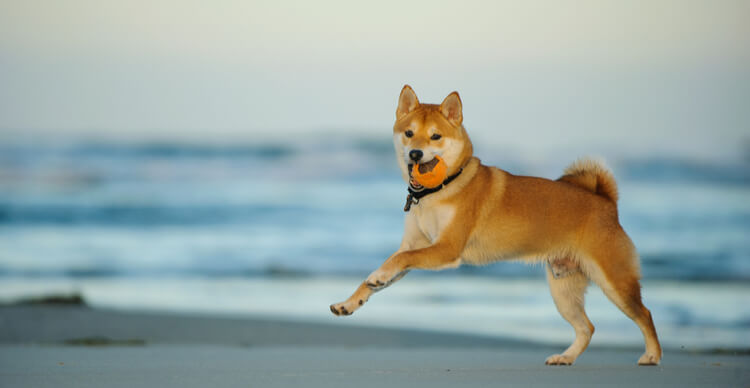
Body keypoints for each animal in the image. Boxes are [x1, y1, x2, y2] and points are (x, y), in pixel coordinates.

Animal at [332, 83, 660, 366]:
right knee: (587, 328)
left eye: (435, 137)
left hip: (615, 281)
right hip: (563, 289)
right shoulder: (416, 246)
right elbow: (389, 265)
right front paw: (352, 301)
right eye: (409, 133)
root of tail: (607, 203)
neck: (441, 190)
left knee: (644, 313)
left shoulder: (446, 249)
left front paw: (376, 277)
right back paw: (565, 357)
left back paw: (652, 356)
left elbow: (398, 260)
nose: (415, 153)